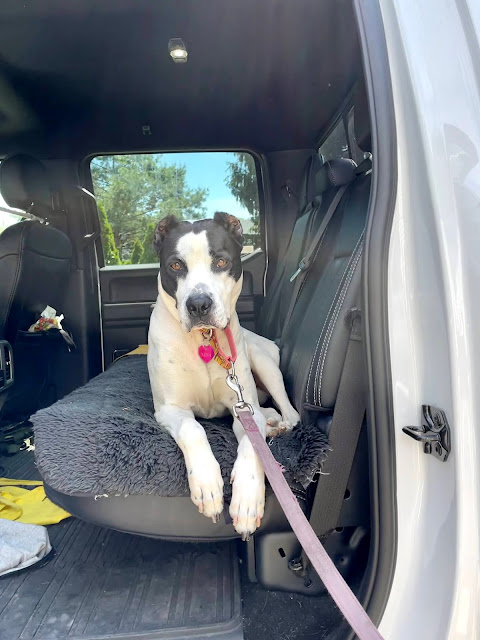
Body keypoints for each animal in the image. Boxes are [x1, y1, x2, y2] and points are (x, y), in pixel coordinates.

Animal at [148, 212, 300, 538]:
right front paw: (206, 482)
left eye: (220, 262)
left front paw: (247, 498)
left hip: (261, 360)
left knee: (290, 414)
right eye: (175, 265)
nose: (198, 304)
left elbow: (251, 445)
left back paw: (278, 424)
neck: (204, 339)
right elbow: (193, 429)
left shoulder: (244, 407)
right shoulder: (170, 409)